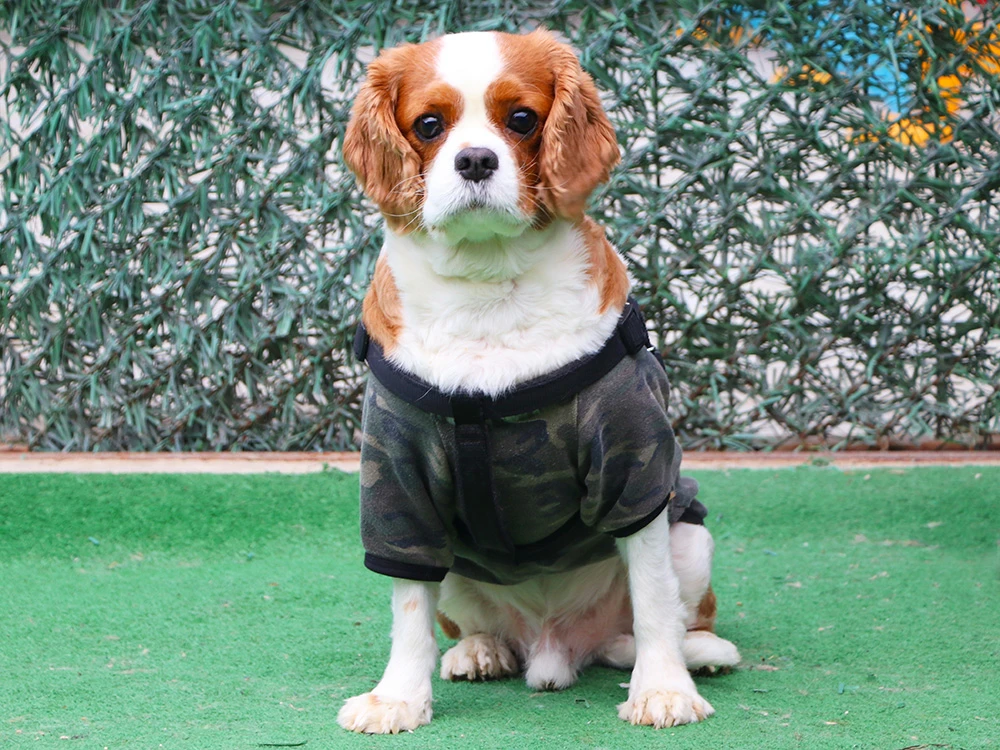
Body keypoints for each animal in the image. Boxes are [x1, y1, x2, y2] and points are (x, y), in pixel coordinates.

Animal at [340, 27, 740, 736]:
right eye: (429, 125)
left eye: (522, 118)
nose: (475, 160)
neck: (489, 286)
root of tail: (557, 645)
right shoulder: (397, 486)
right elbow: (410, 609)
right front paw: (398, 698)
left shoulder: (635, 471)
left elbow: (654, 597)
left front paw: (664, 689)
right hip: (461, 577)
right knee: (466, 621)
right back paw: (480, 651)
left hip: (691, 536)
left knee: (668, 615)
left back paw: (701, 653)